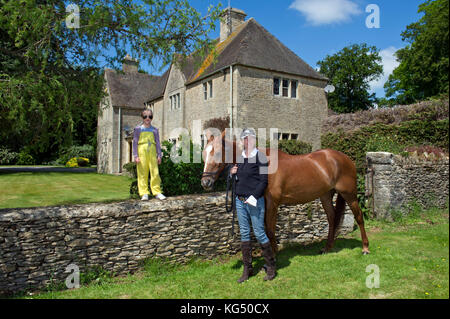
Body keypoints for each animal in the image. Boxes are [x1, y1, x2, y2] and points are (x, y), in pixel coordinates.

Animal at [201, 131, 370, 256]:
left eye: (217, 153)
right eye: (203, 153)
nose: (205, 183)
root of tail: (345, 158)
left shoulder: (273, 203)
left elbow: (270, 228)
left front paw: (274, 254)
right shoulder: (265, 203)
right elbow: (267, 228)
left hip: (349, 194)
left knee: (359, 216)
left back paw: (365, 248)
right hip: (326, 195)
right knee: (332, 218)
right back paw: (327, 248)